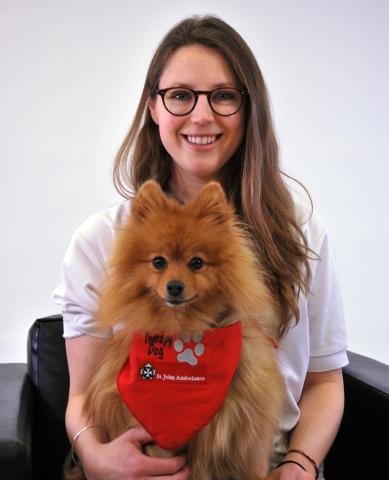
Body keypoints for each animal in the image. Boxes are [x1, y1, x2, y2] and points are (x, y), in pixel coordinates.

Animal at [66, 180, 284, 480]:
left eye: (197, 263)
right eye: (159, 262)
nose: (175, 286)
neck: (183, 328)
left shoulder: (241, 433)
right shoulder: (153, 433)